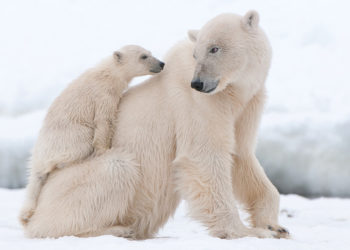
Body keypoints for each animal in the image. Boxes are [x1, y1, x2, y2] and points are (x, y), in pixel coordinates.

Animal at [19, 45, 165, 227]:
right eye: (143, 56)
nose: (161, 63)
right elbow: (104, 121)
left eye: (150, 53)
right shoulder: (103, 95)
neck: (107, 73)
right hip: (68, 137)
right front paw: (104, 150)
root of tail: (38, 156)